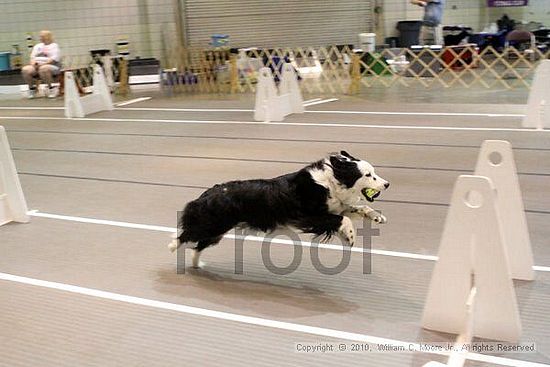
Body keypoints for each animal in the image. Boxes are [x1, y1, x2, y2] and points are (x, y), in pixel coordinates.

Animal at [170, 151, 390, 268]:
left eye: (374, 173)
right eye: (369, 175)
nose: (387, 184)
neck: (331, 181)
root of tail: (207, 194)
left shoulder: (335, 208)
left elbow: (357, 208)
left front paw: (377, 217)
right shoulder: (309, 216)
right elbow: (343, 220)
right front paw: (350, 237)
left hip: (217, 230)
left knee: (198, 245)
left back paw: (197, 264)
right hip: (214, 225)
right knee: (188, 234)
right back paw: (173, 245)